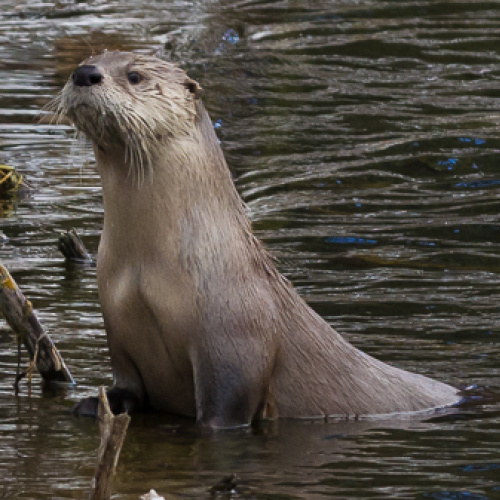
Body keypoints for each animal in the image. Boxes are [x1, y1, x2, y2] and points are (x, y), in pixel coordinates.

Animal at [48, 50, 458, 428]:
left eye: (135, 75)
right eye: (85, 60)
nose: (85, 73)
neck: (148, 269)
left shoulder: (235, 344)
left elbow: (223, 412)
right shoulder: (119, 333)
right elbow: (127, 387)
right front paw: (93, 404)